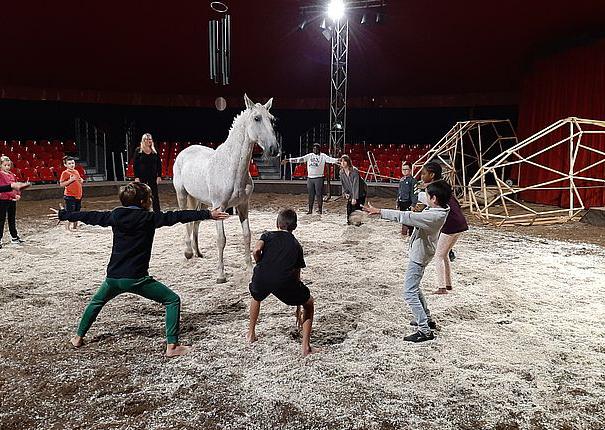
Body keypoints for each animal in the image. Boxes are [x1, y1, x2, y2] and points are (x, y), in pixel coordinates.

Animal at [172, 94, 278, 282]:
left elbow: (247, 235)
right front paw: (221, 275)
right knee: (186, 220)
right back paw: (188, 252)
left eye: (272, 119)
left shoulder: (243, 206)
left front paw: (249, 268)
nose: (274, 149)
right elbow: (221, 240)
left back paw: (198, 252)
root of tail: (184, 152)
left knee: (195, 222)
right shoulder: (219, 208)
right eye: (257, 118)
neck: (232, 168)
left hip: (199, 200)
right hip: (182, 194)